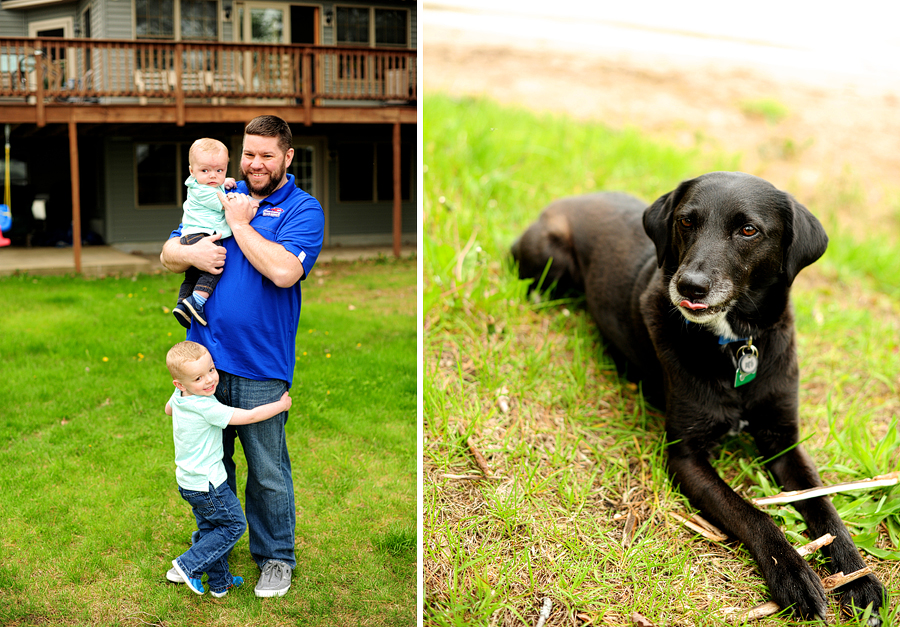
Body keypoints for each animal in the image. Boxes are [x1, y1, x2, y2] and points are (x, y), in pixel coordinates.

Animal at [512, 172, 884, 624]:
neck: (736, 344)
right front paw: (793, 574)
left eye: (748, 230)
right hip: (548, 257)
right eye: (686, 222)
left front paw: (859, 577)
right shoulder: (685, 456)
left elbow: (825, 509)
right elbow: (751, 513)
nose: (689, 284)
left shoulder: (784, 441)